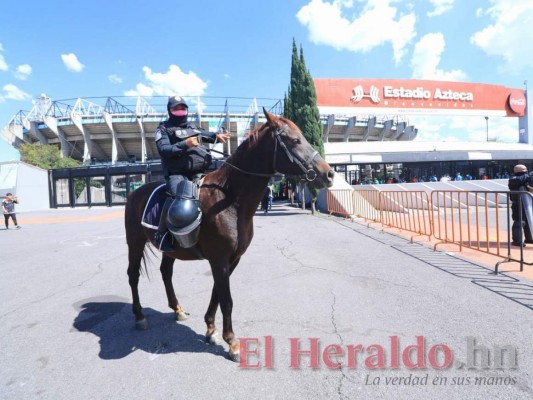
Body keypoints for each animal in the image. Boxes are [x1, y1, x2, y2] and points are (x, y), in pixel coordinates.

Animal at [124, 108, 332, 360]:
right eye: (294, 140)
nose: (328, 174)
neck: (230, 199)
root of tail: (134, 194)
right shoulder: (219, 259)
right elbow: (227, 300)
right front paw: (231, 341)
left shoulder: (231, 259)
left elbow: (217, 293)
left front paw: (211, 329)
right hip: (135, 242)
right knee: (133, 276)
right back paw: (139, 316)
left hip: (169, 249)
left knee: (166, 272)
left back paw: (178, 309)